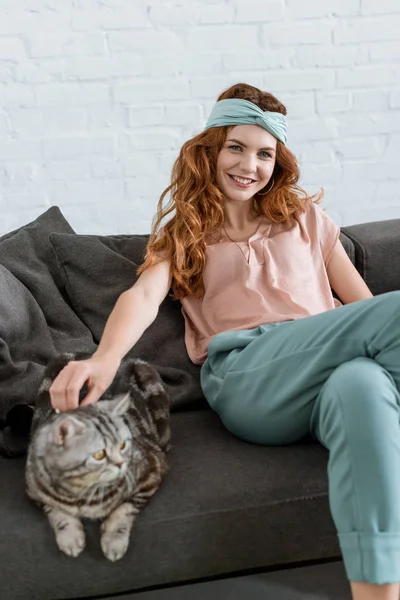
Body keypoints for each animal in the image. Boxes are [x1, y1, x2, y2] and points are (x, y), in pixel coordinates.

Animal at [25, 354, 170, 560]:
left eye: (123, 445)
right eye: (99, 454)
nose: (121, 463)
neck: (80, 491)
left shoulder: (153, 469)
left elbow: (124, 509)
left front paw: (114, 540)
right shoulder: (32, 489)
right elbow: (56, 510)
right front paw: (70, 536)